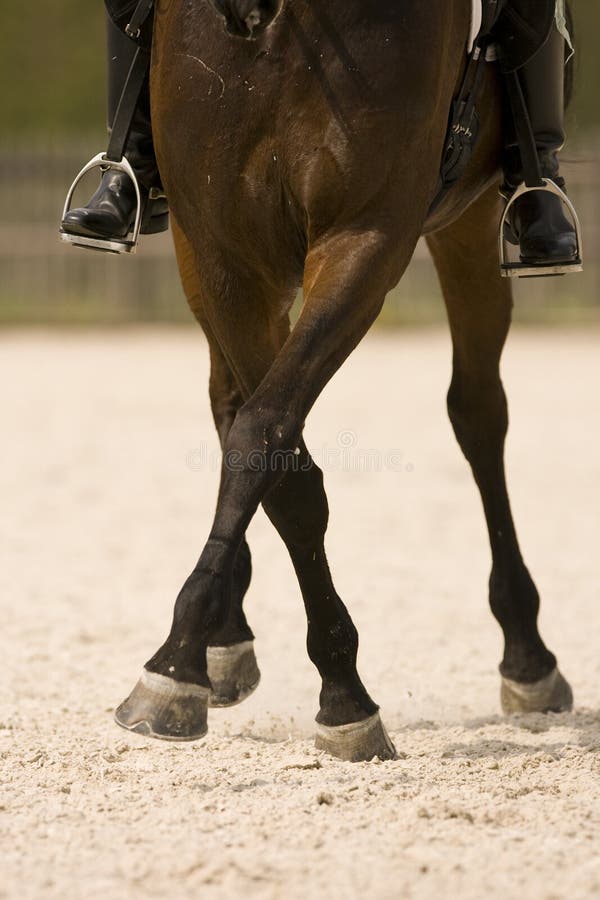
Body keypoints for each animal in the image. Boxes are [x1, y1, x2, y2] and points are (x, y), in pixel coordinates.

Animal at [115, 0, 576, 760]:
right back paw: (225, 641)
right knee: (228, 400)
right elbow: (280, 460)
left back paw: (529, 659)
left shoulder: (365, 237)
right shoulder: (221, 252)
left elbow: (267, 434)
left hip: (470, 219)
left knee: (479, 413)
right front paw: (199, 660)